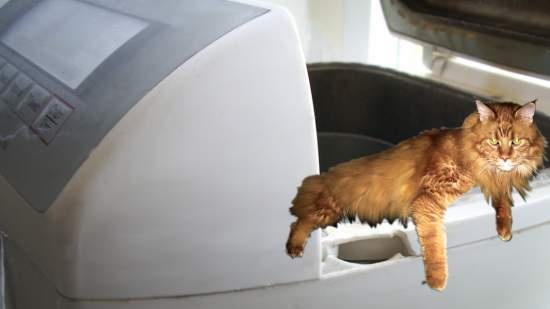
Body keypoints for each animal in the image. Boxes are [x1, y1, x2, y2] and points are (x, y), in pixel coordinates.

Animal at [288, 100, 548, 290]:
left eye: (516, 141)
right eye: (494, 141)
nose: (505, 157)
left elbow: (503, 202)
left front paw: (505, 229)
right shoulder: (428, 201)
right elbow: (435, 243)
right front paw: (437, 280)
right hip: (327, 208)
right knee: (300, 222)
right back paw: (294, 248)